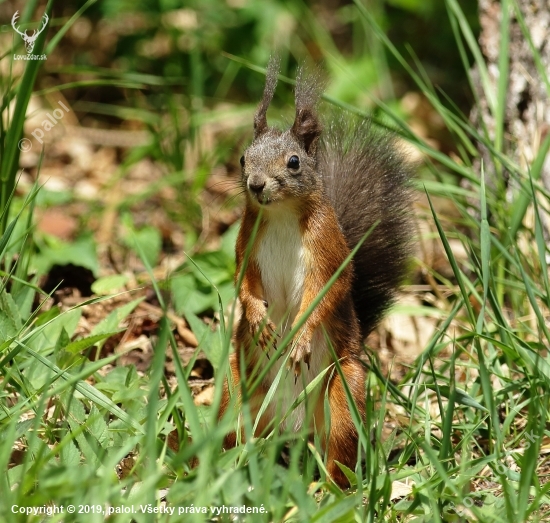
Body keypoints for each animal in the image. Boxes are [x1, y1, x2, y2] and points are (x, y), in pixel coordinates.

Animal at [220, 58, 414, 492]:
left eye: (294, 162)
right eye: (243, 159)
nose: (256, 184)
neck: (280, 214)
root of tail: (292, 427)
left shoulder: (328, 246)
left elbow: (331, 288)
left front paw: (301, 337)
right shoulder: (246, 242)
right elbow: (242, 283)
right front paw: (257, 318)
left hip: (342, 395)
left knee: (339, 452)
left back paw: (324, 489)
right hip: (236, 390)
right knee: (235, 430)